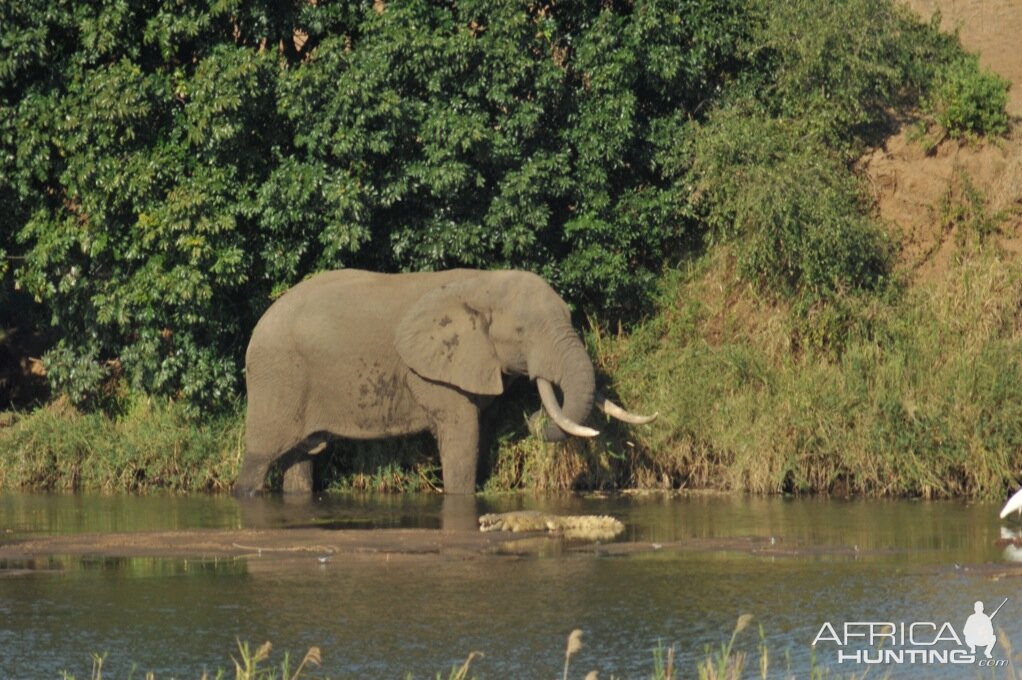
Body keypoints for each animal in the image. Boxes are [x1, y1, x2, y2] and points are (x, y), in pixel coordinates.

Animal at [235, 267, 654, 496]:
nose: (532, 416)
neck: (485, 282)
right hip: (277, 376)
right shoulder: (437, 372)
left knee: (302, 457)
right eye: (522, 331)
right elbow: (462, 433)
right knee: (260, 456)